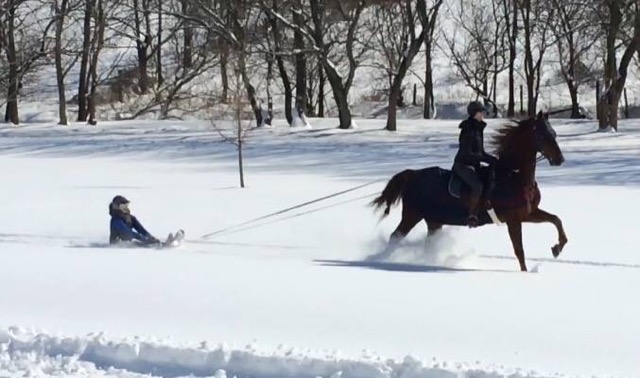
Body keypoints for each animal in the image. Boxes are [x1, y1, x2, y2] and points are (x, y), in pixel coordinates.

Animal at [372, 110, 568, 270]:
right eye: (542, 135)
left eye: (554, 134)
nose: (560, 159)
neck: (514, 175)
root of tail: (412, 174)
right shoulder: (513, 220)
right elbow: (519, 250)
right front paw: (526, 273)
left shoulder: (528, 213)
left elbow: (556, 220)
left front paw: (557, 248)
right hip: (412, 215)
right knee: (395, 237)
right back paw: (380, 260)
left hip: (434, 221)